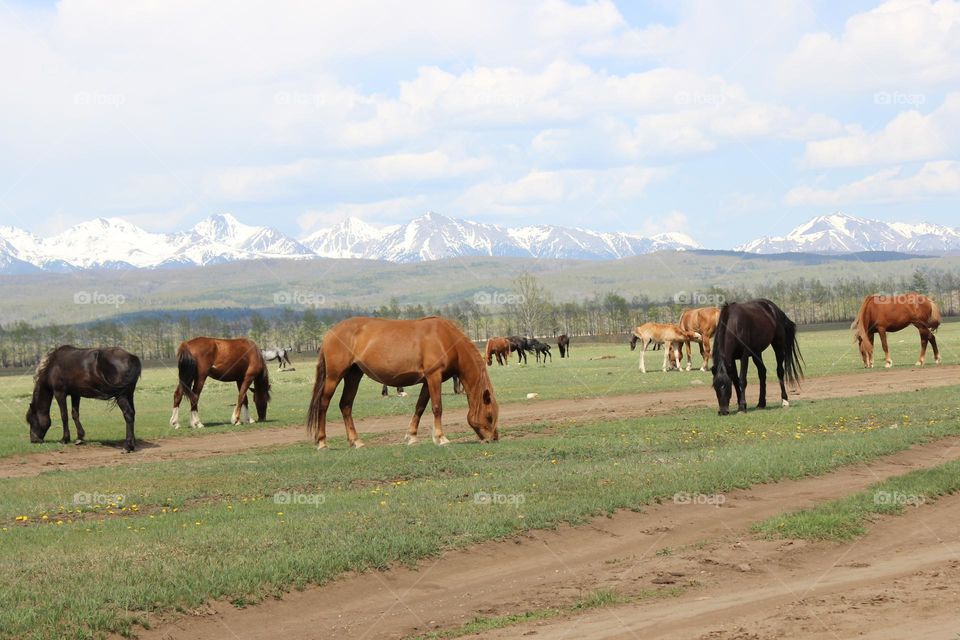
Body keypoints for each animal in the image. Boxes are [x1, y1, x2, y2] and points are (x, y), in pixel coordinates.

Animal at [310, 316, 502, 450]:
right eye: (489, 416)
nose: (493, 438)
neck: (446, 339)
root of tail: (329, 333)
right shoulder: (434, 376)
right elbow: (437, 407)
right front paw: (441, 438)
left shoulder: (427, 380)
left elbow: (420, 407)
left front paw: (412, 436)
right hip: (334, 376)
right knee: (324, 404)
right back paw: (322, 442)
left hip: (353, 375)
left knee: (346, 405)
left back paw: (356, 441)